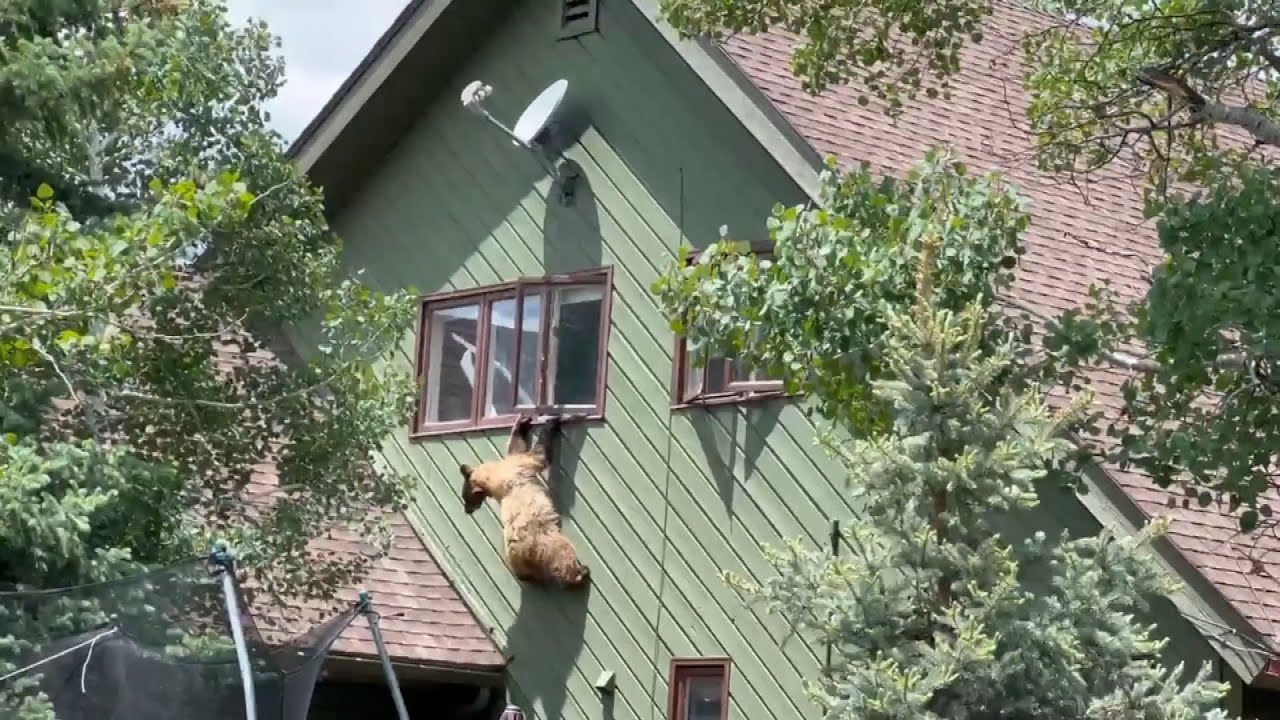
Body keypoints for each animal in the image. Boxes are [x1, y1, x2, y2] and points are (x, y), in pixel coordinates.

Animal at [458, 413, 590, 590]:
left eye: (465, 497)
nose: (467, 510)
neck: (492, 478)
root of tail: (522, 552)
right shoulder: (520, 467)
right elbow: (538, 455)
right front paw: (551, 422)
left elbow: (516, 447)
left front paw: (522, 423)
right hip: (546, 538)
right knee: (563, 552)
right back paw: (580, 573)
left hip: (520, 560)